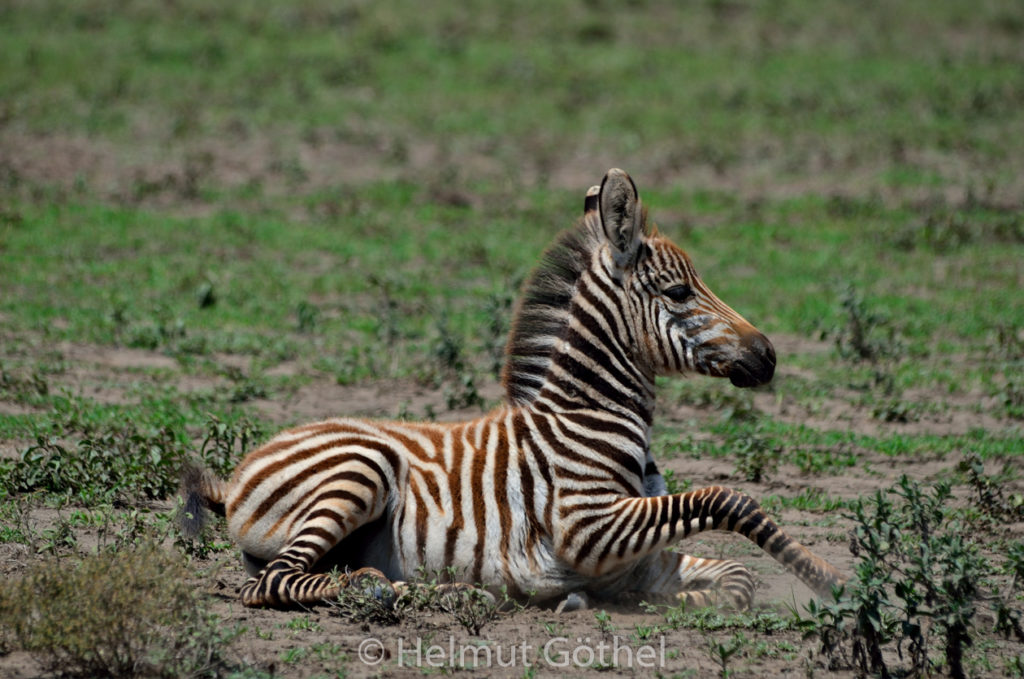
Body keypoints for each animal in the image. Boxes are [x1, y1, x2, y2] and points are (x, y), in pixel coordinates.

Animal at [180, 168, 844, 610]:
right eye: (680, 292)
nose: (768, 355)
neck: (590, 416)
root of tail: (241, 470)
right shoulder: (587, 527)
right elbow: (731, 500)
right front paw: (832, 580)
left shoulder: (637, 558)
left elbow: (739, 576)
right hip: (360, 467)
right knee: (271, 582)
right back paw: (383, 590)